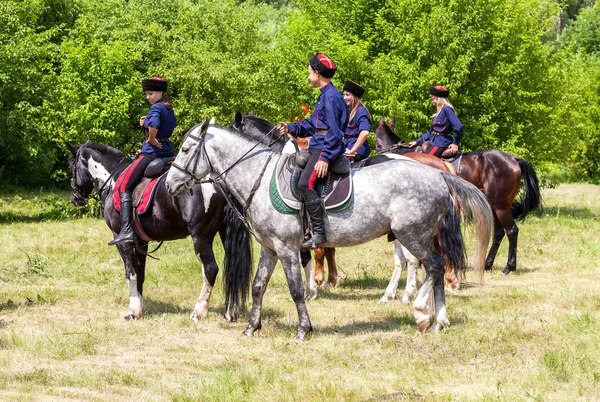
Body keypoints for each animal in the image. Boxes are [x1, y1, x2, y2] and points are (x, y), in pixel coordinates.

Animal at [68, 137, 253, 322]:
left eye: (72, 167)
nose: (75, 198)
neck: (114, 178)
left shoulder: (123, 241)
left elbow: (131, 272)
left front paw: (132, 311)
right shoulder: (141, 242)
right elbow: (140, 273)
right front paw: (140, 307)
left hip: (201, 237)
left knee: (210, 269)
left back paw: (199, 312)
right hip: (225, 233)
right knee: (232, 269)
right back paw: (230, 312)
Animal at [165, 120, 492, 340]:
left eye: (185, 149)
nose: (169, 185)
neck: (258, 176)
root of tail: (437, 174)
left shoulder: (287, 248)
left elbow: (296, 289)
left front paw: (303, 329)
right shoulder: (270, 248)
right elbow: (258, 287)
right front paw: (251, 328)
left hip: (414, 234)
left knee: (433, 266)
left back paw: (423, 313)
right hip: (414, 236)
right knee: (432, 267)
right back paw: (439, 320)